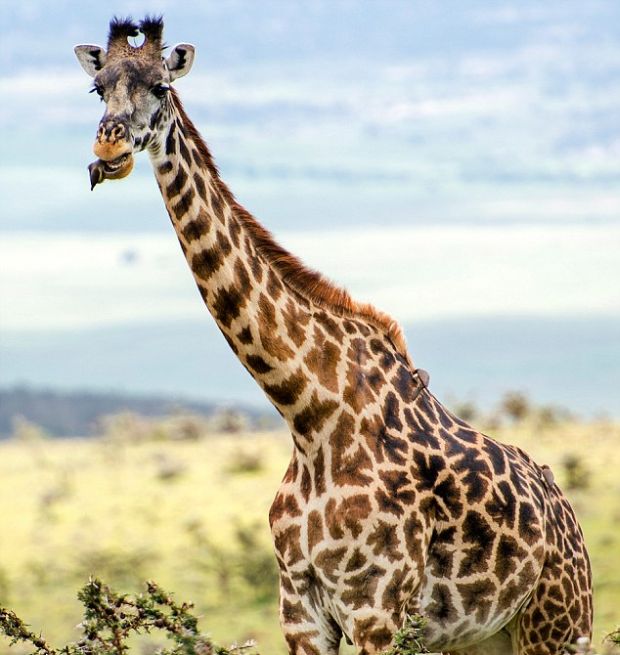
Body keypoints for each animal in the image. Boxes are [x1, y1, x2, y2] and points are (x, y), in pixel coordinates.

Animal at [75, 16, 592, 655]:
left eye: (161, 87)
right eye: (98, 88)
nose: (109, 148)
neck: (308, 415)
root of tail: (568, 516)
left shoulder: (377, 610)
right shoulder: (300, 611)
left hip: (559, 623)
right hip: (483, 637)